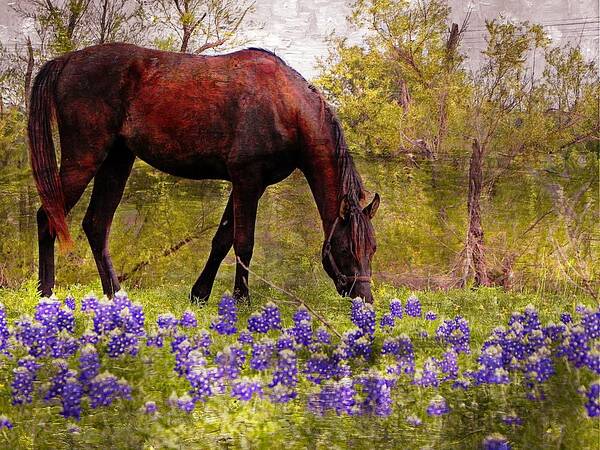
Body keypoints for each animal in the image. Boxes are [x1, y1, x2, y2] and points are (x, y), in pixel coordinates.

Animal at [28, 43, 380, 302]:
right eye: (346, 249)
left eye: (372, 248)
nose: (364, 298)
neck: (284, 105)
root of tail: (66, 60)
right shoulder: (247, 181)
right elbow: (244, 243)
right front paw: (242, 300)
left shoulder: (248, 184)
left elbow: (222, 240)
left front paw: (200, 294)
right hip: (84, 158)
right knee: (48, 217)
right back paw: (46, 293)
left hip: (117, 161)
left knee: (96, 225)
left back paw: (115, 295)